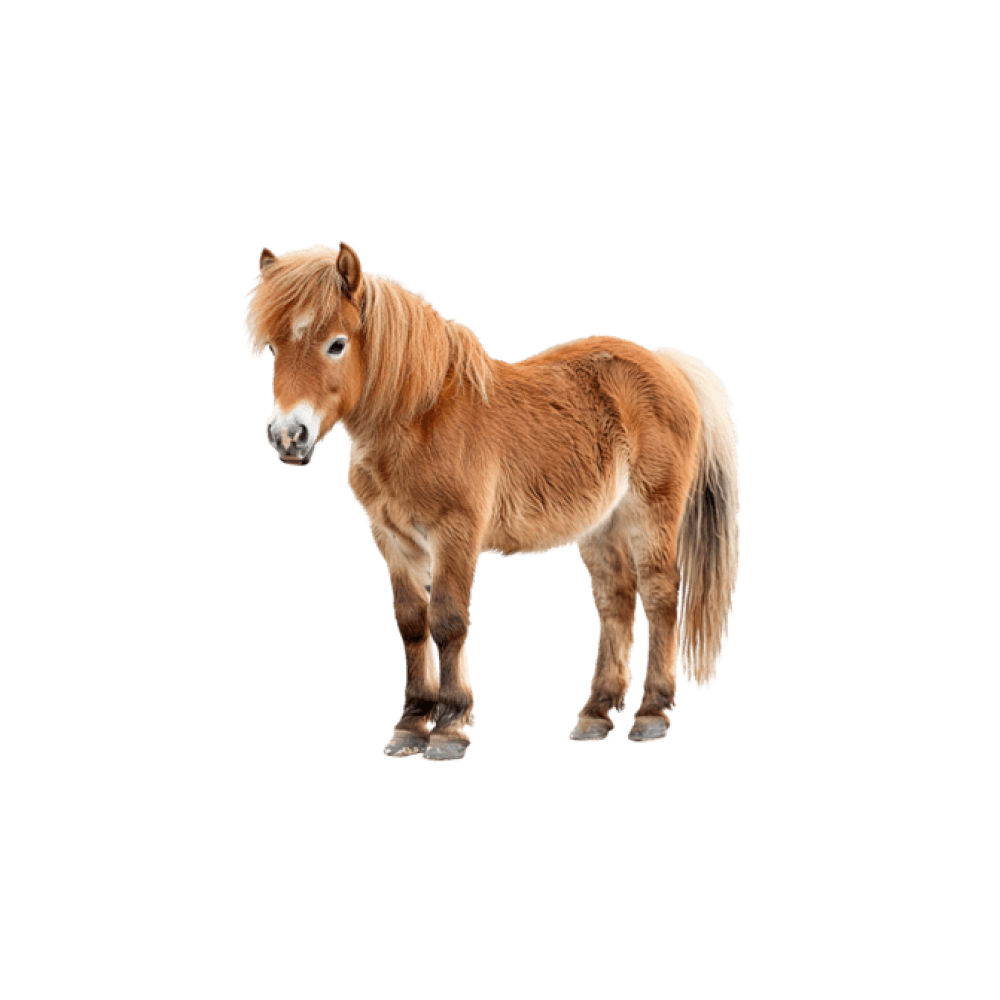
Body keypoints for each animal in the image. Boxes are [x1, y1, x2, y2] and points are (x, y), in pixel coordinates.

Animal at [247, 244, 738, 760]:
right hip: (601, 526)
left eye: (337, 344)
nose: (288, 437)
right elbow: (411, 623)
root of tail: (667, 365)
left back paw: (651, 712)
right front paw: (410, 724)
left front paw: (449, 727)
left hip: (652, 514)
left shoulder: (455, 535)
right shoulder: (393, 540)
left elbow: (447, 621)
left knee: (660, 594)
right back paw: (595, 712)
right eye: (274, 348)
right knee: (616, 601)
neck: (421, 418)